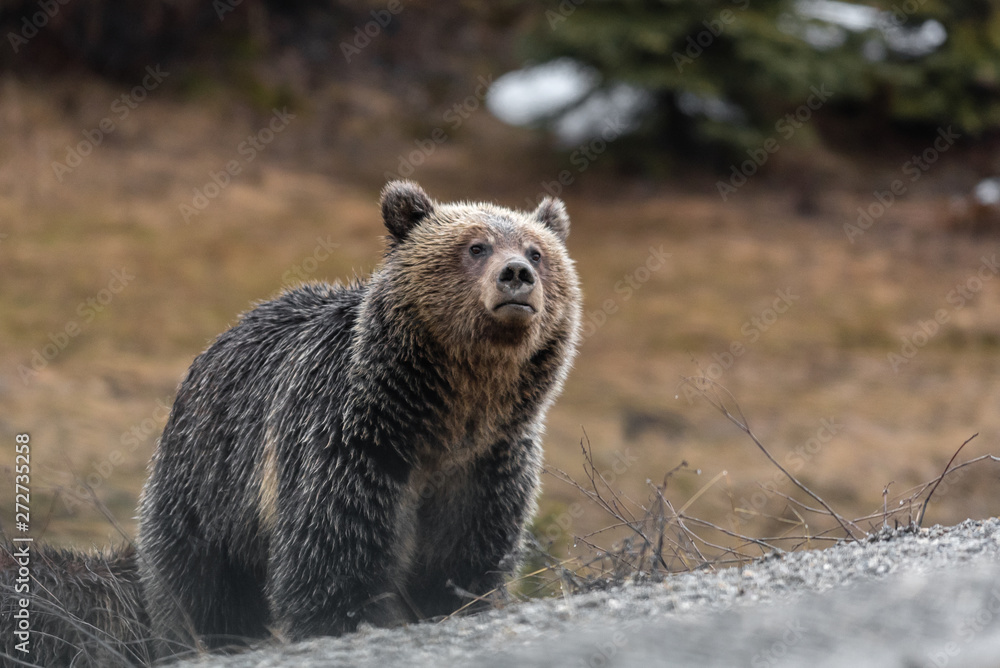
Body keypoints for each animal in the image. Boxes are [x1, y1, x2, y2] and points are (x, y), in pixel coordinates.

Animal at [136, 180, 581, 658]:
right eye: (476, 246)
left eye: (536, 251)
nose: (516, 273)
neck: (449, 410)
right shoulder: (353, 441)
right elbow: (333, 550)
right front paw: (339, 621)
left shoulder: (489, 461)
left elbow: (464, 556)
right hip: (206, 483)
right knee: (198, 584)